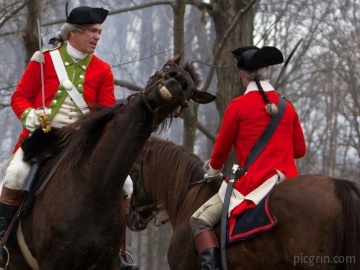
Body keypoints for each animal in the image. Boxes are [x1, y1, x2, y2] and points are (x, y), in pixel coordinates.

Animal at [6, 55, 217, 270]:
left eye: (190, 91)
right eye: (167, 67)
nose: (176, 81)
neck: (94, 184)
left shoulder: (107, 261)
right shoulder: (54, 262)